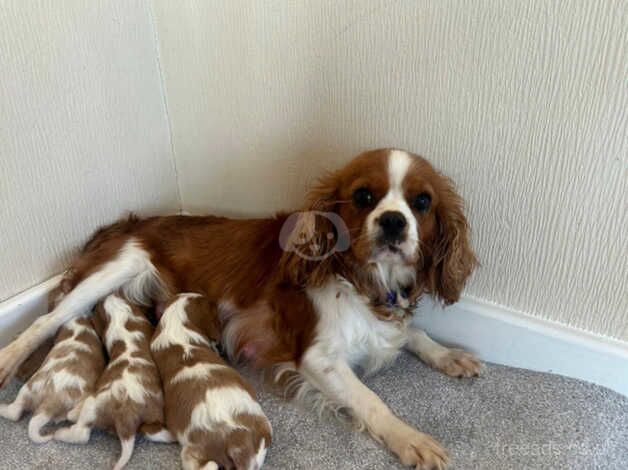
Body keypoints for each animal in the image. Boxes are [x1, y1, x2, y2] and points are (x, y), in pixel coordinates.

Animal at [54, 294, 166, 470]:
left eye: (97, 309)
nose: (107, 295)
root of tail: (127, 424)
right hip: (155, 421)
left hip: (93, 404)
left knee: (81, 433)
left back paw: (65, 425)